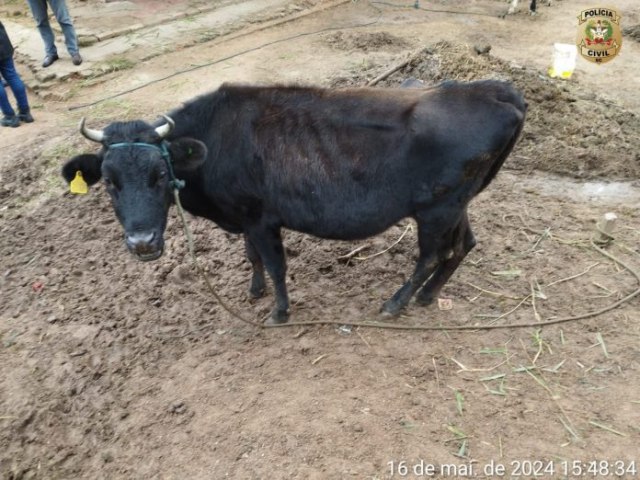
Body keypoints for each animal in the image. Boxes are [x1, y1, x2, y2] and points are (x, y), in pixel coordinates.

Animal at [62, 80, 528, 324]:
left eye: (159, 175)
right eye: (109, 182)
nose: (142, 243)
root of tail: (493, 90)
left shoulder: (261, 218)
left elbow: (274, 263)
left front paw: (279, 311)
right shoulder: (244, 217)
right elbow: (251, 256)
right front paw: (254, 292)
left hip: (436, 210)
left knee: (432, 255)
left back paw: (395, 304)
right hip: (457, 205)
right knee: (463, 245)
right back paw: (429, 296)